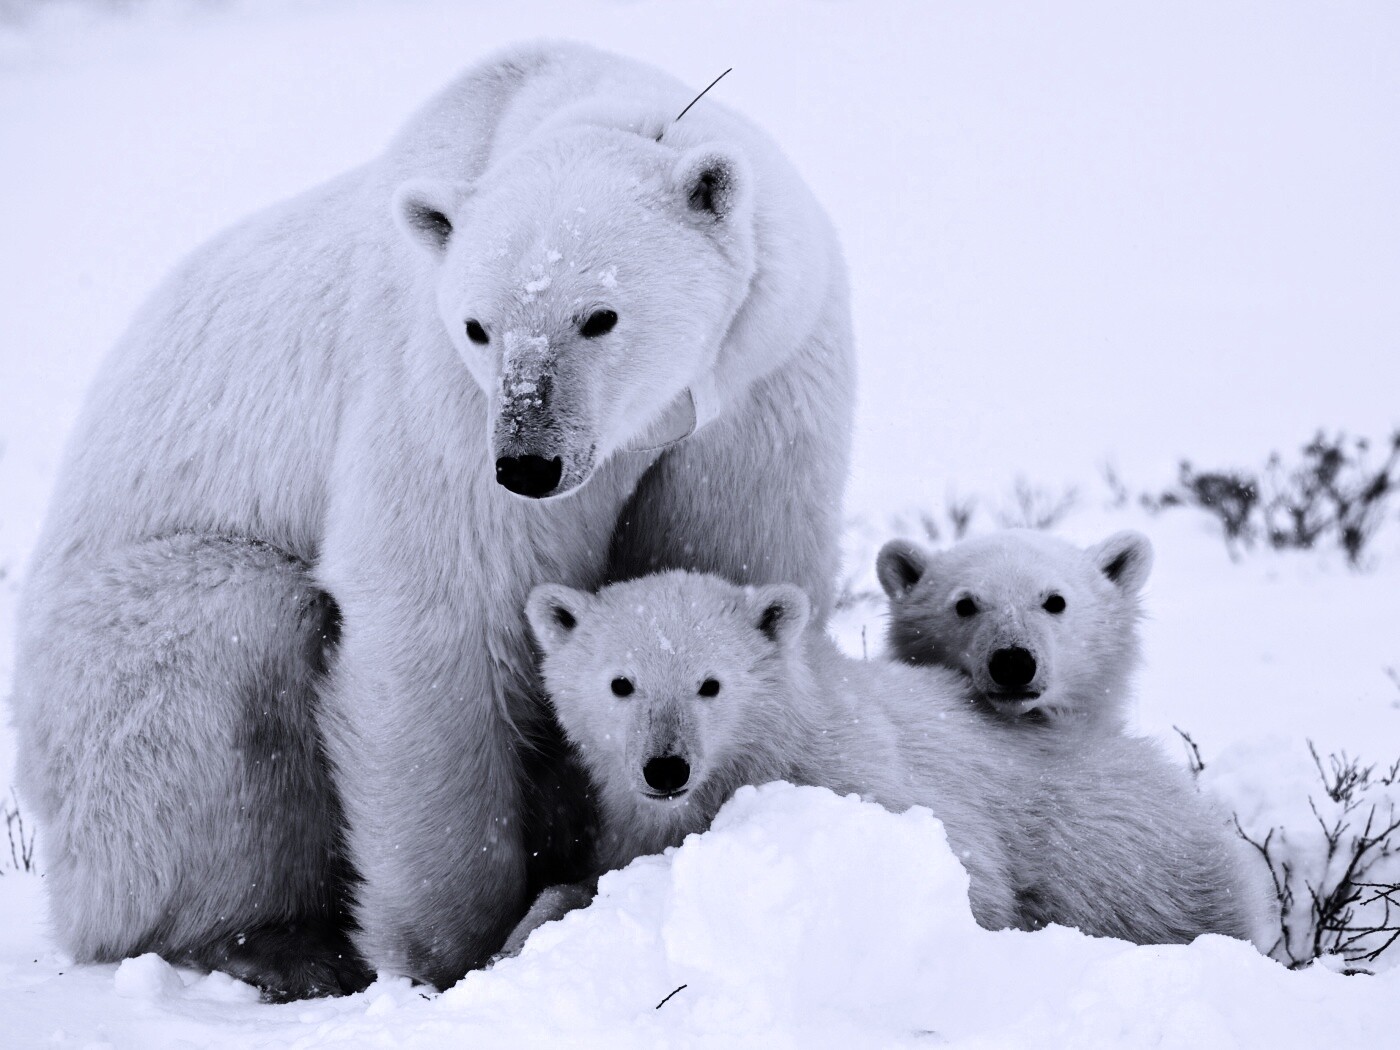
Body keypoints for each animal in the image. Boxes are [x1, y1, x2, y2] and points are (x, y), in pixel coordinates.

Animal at [8, 43, 851, 1002]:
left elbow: (725, 562)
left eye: (600, 315)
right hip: (111, 670)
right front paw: (458, 948)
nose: (528, 464)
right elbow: (439, 605)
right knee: (228, 649)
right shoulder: (437, 389)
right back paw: (279, 945)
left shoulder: (760, 386)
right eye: (479, 326)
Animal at [512, 576, 1260, 952]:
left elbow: (968, 882)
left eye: (710, 684)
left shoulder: (861, 778)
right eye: (621, 683)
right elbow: (586, 879)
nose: (665, 769)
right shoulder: (633, 822)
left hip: (1119, 844)